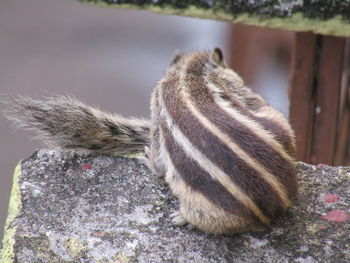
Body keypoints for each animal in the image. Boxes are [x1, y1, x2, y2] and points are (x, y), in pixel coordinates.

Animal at [4, 49, 296, 235]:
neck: (188, 73)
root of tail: (274, 208)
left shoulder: (158, 106)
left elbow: (157, 152)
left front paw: (149, 161)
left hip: (209, 207)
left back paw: (183, 218)